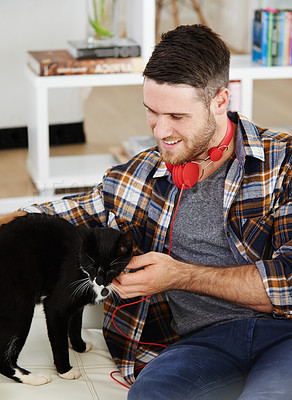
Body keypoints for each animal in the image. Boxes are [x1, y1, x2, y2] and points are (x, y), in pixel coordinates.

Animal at [0, 214, 133, 386]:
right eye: (92, 265)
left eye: (111, 268)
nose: (99, 280)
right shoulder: (55, 308)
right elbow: (60, 343)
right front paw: (65, 371)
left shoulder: (78, 306)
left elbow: (76, 325)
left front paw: (80, 346)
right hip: (20, 309)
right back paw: (34, 378)